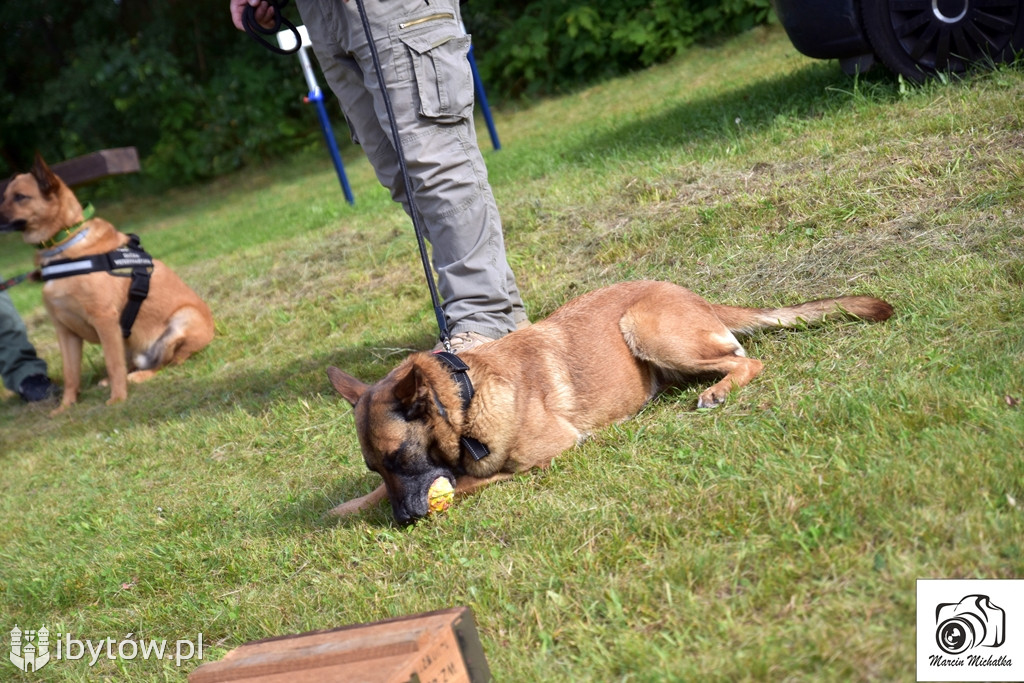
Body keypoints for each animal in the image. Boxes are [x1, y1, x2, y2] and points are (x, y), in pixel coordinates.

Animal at [0, 154, 211, 411]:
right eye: (4, 196)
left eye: (20, 197)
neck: (63, 244)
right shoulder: (65, 331)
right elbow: (71, 374)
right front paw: (65, 407)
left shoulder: (105, 320)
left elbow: (113, 363)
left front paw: (118, 398)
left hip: (181, 322)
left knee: (167, 363)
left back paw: (140, 376)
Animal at [329, 280, 897, 528]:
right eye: (377, 467)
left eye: (401, 458)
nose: (403, 521)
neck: (465, 400)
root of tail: (693, 295)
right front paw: (349, 506)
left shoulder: (547, 454)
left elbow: (470, 482)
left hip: (646, 327)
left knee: (746, 360)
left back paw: (717, 391)